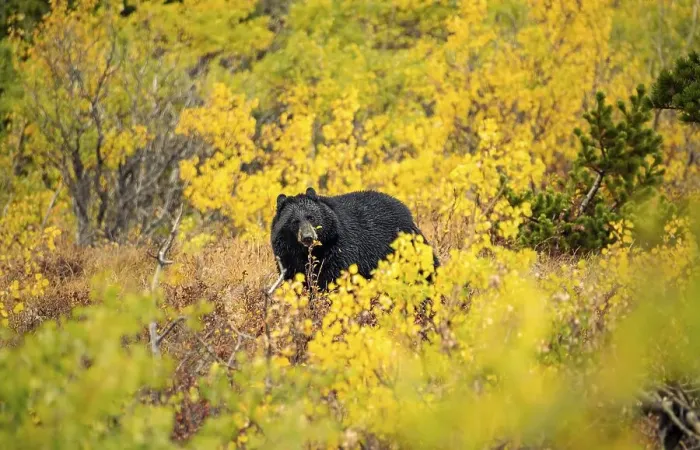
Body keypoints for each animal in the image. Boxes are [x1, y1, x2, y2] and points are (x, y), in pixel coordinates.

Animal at [270, 187, 439, 290]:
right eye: (294, 221)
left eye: (311, 217)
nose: (307, 237)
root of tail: (406, 211)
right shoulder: (288, 258)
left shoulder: (339, 250)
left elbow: (333, 279)